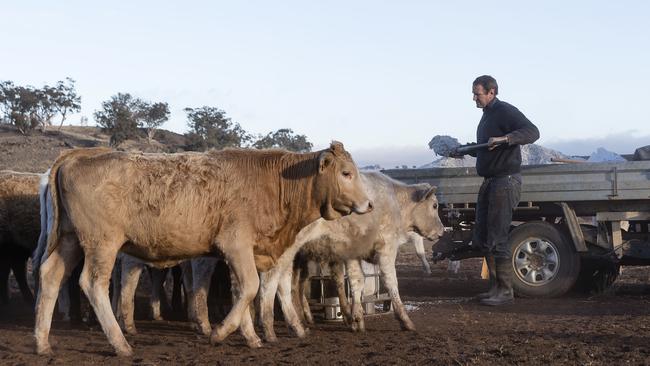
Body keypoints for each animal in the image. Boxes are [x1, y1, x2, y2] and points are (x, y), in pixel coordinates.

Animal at [34, 142, 370, 356]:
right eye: (346, 173)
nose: (369, 204)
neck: (272, 182)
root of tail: (76, 156)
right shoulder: (235, 244)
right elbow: (250, 287)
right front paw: (220, 333)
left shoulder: (240, 252)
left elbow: (241, 292)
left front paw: (251, 338)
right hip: (102, 243)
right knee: (93, 283)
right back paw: (120, 344)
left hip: (69, 239)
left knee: (50, 276)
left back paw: (42, 342)